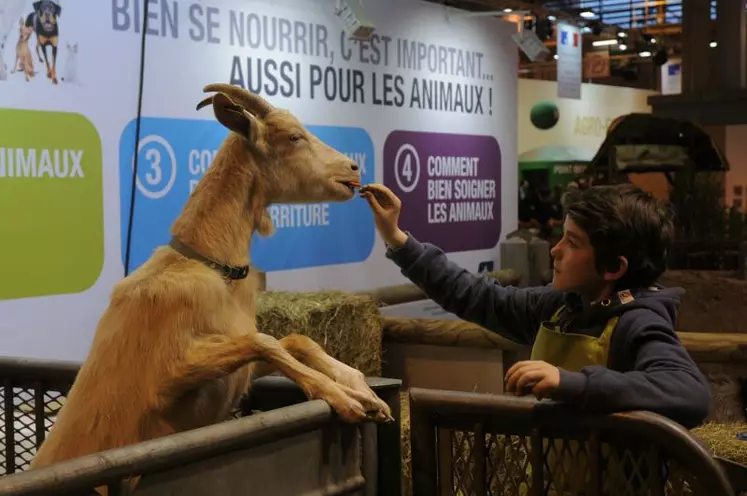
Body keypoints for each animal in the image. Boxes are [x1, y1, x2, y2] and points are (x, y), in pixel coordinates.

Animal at [30, 82, 392, 480]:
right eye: (294, 136)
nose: (353, 168)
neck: (209, 265)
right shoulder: (167, 377)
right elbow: (264, 340)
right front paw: (345, 398)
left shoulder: (239, 370)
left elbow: (293, 340)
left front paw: (362, 388)